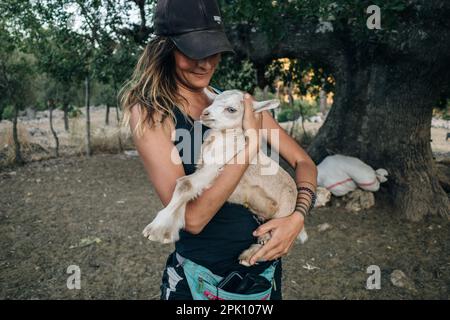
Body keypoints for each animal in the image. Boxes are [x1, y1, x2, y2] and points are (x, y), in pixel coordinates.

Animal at [144, 89, 310, 266]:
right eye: (212, 101)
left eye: (231, 109)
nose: (205, 113)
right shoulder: (203, 167)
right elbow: (188, 192)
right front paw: (172, 228)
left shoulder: (214, 168)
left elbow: (185, 184)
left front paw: (157, 229)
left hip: (284, 211)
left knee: (273, 239)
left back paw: (249, 256)